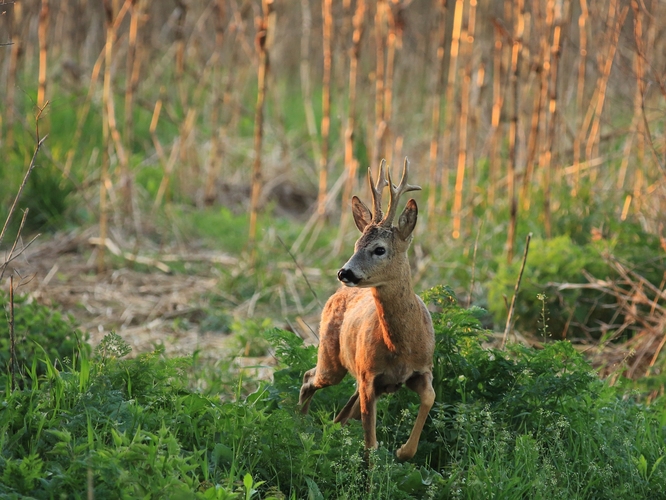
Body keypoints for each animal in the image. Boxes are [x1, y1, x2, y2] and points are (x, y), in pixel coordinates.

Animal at [296, 158, 434, 458]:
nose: (344, 272)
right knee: (310, 377)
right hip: (332, 360)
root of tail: (336, 295)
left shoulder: (422, 368)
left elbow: (429, 397)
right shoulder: (369, 376)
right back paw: (297, 424)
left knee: (340, 414)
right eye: (356, 244)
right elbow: (370, 443)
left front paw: (403, 451)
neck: (401, 348)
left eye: (379, 249)